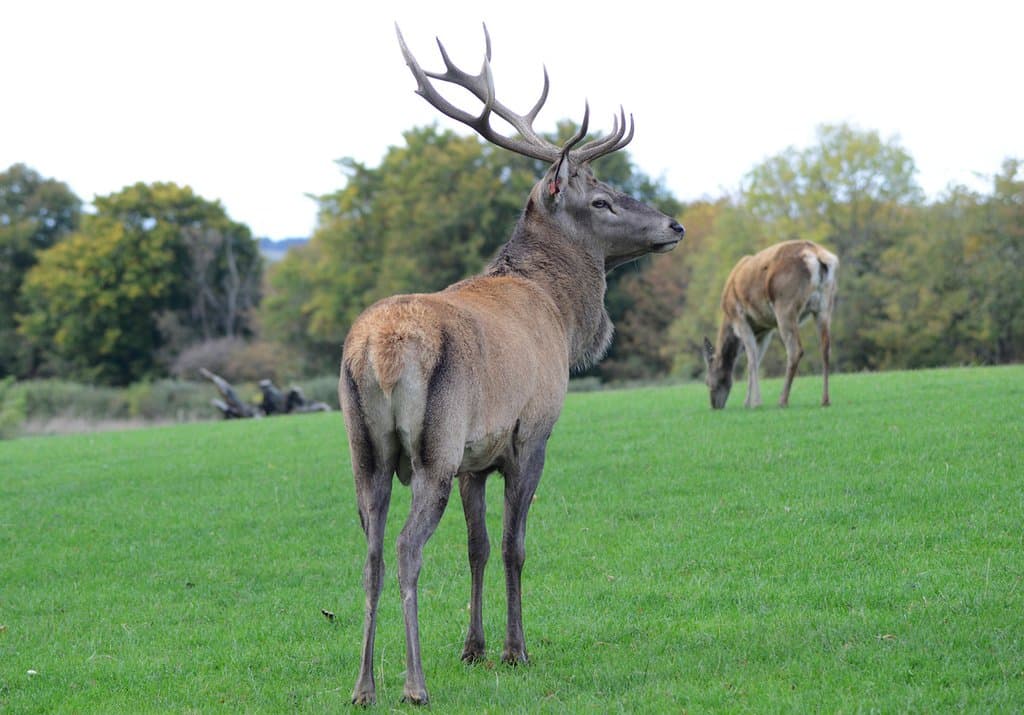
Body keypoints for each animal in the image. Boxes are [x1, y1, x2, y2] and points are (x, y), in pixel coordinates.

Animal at [337, 24, 685, 706]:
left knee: (370, 553)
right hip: (434, 446)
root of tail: (375, 350)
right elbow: (512, 546)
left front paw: (473, 648)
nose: (674, 225)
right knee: (407, 549)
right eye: (602, 201)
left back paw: (364, 686)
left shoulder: (478, 455)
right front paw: (515, 649)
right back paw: (413, 684)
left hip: (366, 449)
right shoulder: (531, 433)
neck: (562, 317)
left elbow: (475, 547)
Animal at [702, 239, 838, 409]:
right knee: (826, 348)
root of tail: (819, 257)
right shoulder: (766, 328)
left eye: (707, 381)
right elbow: (756, 360)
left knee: (795, 350)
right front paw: (749, 402)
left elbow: (752, 360)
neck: (728, 317)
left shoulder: (740, 319)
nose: (715, 405)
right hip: (825, 305)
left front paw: (753, 403)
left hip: (785, 305)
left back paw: (782, 400)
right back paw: (825, 400)